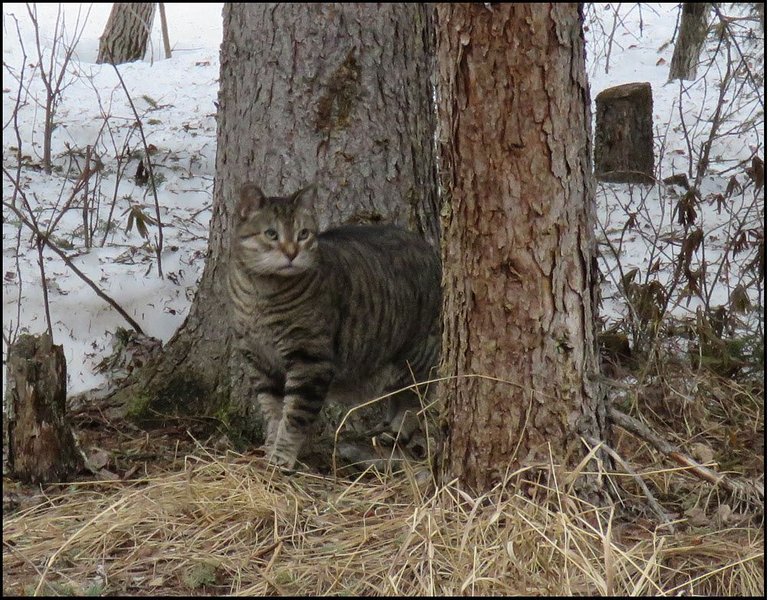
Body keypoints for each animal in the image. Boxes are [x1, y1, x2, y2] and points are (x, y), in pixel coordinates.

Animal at [228, 183, 440, 468]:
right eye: (271, 233)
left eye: (303, 234)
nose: (292, 253)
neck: (261, 294)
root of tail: (431, 249)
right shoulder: (259, 362)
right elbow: (273, 412)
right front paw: (270, 448)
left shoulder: (309, 361)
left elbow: (294, 416)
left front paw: (281, 458)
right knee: (398, 398)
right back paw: (384, 431)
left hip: (416, 358)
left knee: (413, 402)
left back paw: (396, 433)